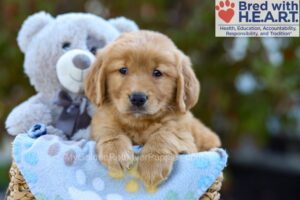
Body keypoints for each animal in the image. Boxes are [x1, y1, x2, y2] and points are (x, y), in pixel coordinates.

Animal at [84, 30, 220, 188]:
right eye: (123, 70)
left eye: (157, 73)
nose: (138, 98)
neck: (139, 123)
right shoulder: (102, 120)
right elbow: (109, 130)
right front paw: (116, 152)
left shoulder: (185, 139)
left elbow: (165, 134)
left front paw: (153, 165)